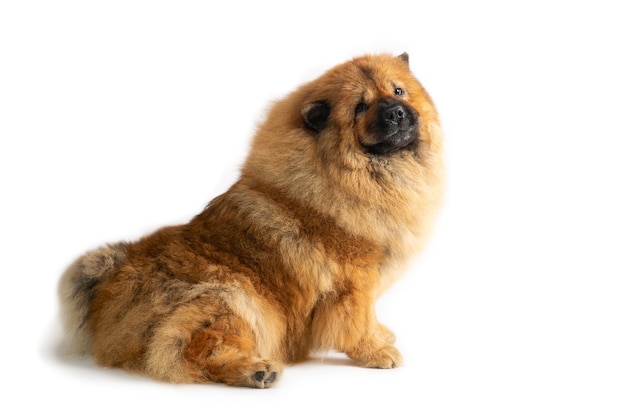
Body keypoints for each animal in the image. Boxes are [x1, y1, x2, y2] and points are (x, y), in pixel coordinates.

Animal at [56, 52, 442, 386]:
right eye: (361, 107)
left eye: (397, 91)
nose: (395, 113)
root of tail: (111, 285)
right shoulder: (353, 282)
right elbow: (356, 323)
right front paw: (376, 352)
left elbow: (370, 317)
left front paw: (382, 334)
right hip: (235, 298)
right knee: (189, 350)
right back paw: (256, 370)